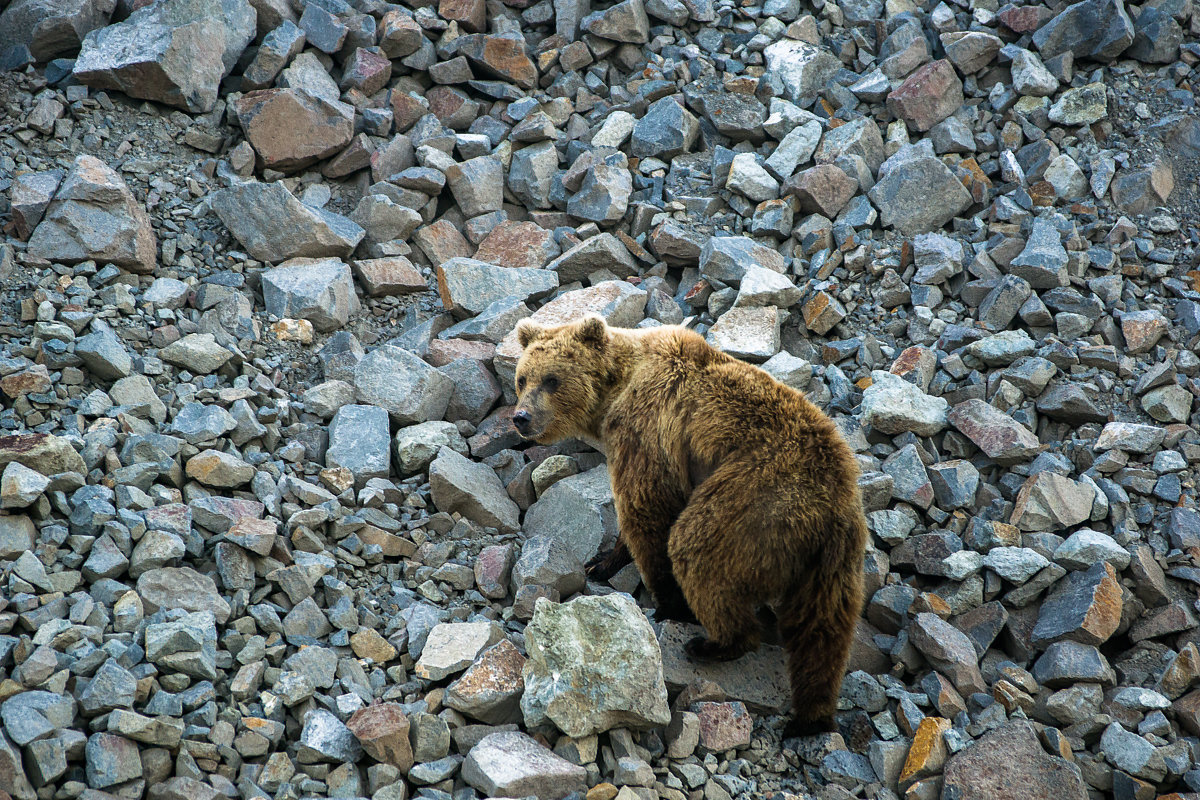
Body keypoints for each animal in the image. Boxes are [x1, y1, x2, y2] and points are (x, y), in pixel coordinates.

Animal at [511, 314, 868, 738]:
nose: (521, 417)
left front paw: (665, 601)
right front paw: (601, 561)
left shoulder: (647, 428)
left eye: (552, 379)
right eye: (522, 379)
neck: (614, 391)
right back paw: (811, 717)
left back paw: (713, 642)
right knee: (822, 631)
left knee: (698, 548)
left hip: (757, 499)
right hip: (833, 563)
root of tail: (833, 506)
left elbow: (648, 509)